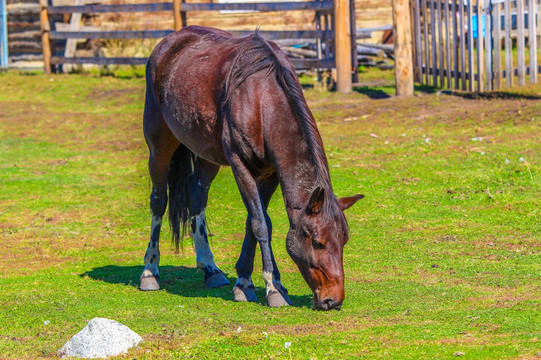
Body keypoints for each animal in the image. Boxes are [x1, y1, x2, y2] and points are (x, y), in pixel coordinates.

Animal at [138, 26, 362, 310]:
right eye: (318, 242)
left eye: (344, 240)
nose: (333, 300)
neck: (262, 101)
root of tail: (169, 43)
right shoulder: (240, 165)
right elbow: (261, 224)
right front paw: (274, 287)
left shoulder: (271, 173)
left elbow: (252, 222)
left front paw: (243, 282)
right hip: (159, 145)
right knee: (158, 200)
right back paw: (150, 271)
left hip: (207, 155)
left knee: (196, 195)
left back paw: (210, 269)